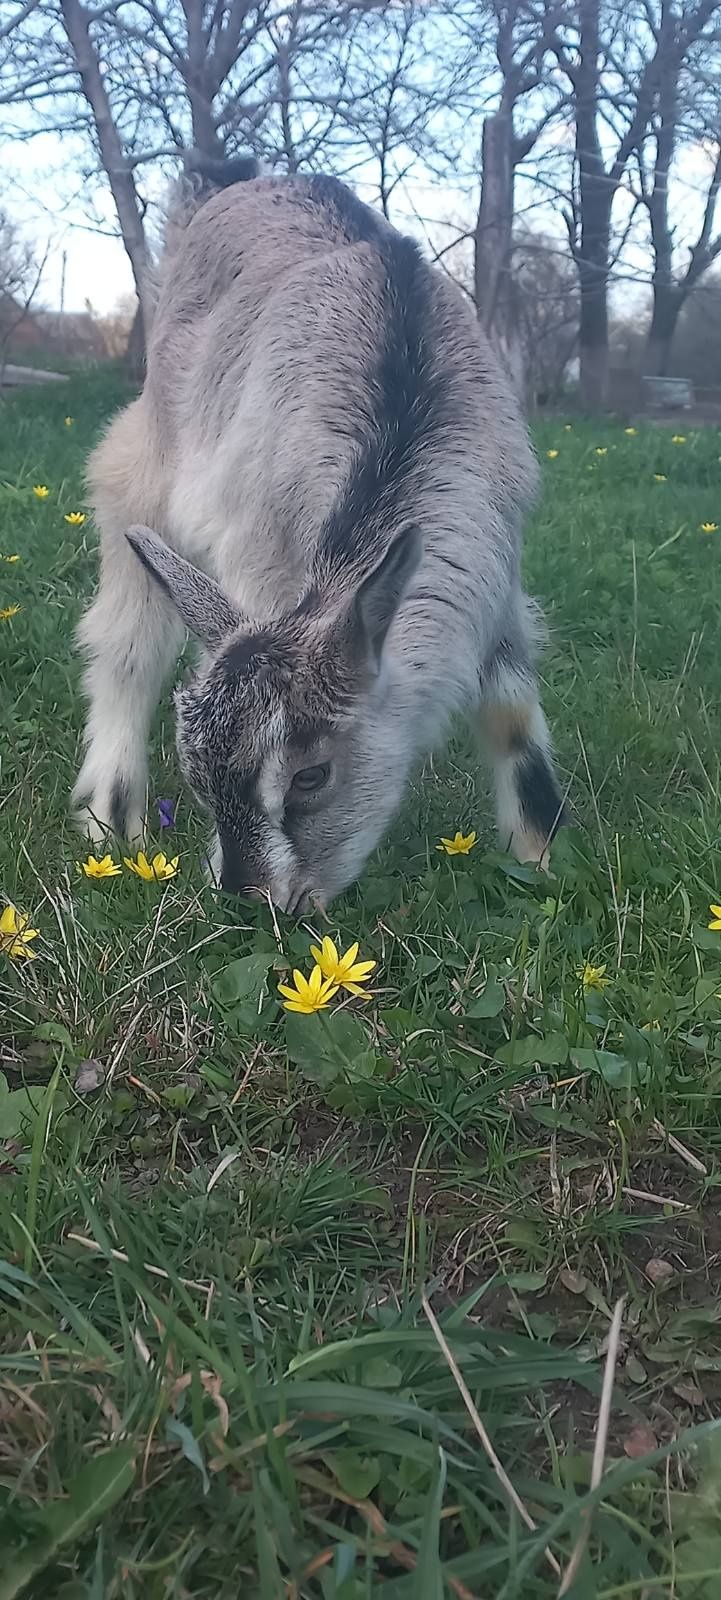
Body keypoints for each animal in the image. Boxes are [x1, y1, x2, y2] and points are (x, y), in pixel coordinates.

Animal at [74, 165, 569, 915]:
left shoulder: (496, 576)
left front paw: (539, 861)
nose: (253, 900)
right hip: (141, 464)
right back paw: (111, 808)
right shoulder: (255, 554)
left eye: (312, 776)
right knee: (127, 634)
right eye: (199, 778)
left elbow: (511, 711)